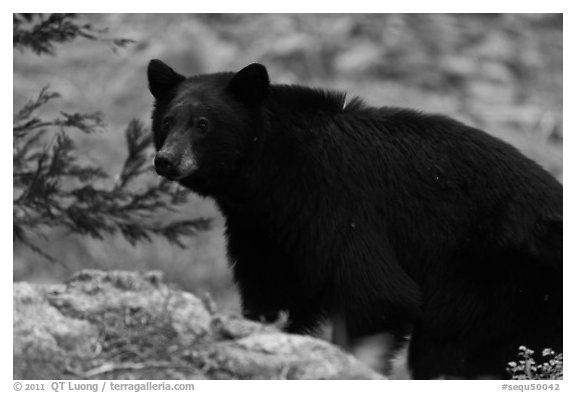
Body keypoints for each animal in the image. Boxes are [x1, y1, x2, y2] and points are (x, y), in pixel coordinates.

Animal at [146, 59, 560, 378]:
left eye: (203, 123)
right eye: (167, 121)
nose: (166, 160)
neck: (271, 174)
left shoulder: (338, 204)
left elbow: (379, 294)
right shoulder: (262, 229)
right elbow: (273, 295)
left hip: (494, 281)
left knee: (451, 348)